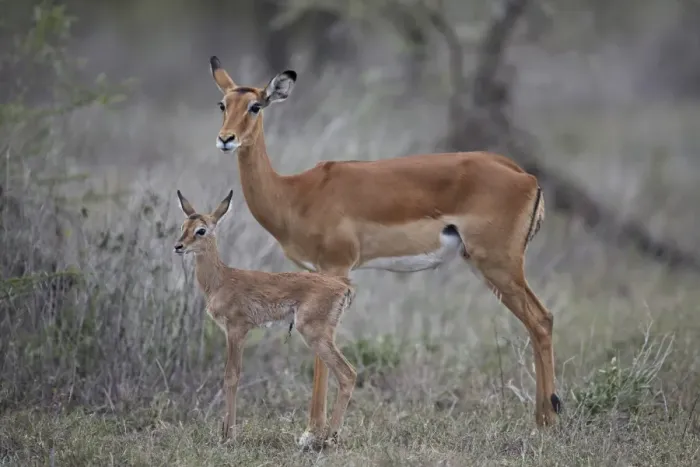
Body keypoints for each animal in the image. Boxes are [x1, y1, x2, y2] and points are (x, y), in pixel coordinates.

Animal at [173, 189, 357, 449]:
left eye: (201, 230)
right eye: (183, 225)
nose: (178, 246)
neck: (221, 279)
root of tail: (343, 285)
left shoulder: (237, 329)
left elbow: (231, 376)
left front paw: (228, 436)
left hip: (315, 334)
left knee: (348, 373)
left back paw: (329, 439)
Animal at [207, 55, 561, 448]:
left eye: (255, 106)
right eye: (223, 104)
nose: (225, 139)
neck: (294, 194)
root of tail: (524, 176)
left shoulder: (336, 267)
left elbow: (321, 355)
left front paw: (312, 434)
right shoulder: (317, 273)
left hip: (499, 265)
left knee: (541, 320)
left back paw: (547, 421)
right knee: (540, 321)